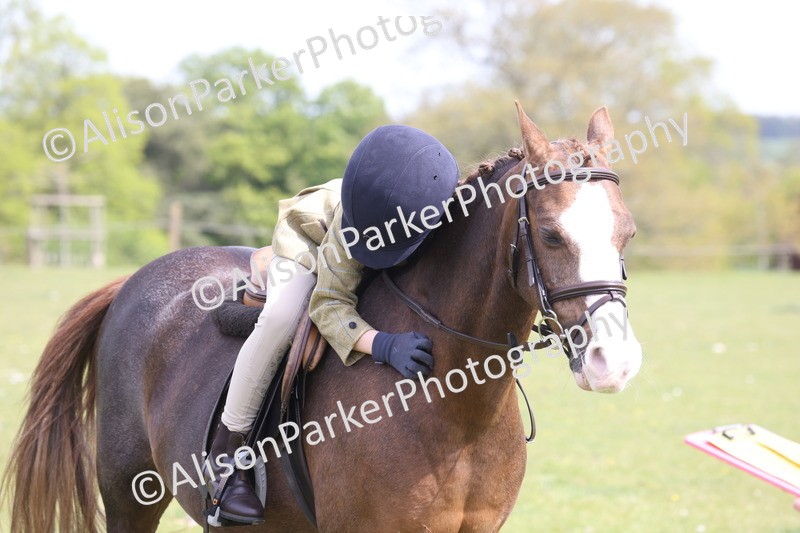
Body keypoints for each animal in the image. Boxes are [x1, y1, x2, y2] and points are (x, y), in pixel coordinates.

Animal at [2, 102, 641, 532]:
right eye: (552, 236)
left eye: (627, 233)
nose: (614, 364)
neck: (457, 409)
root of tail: (132, 282)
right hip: (128, 492)